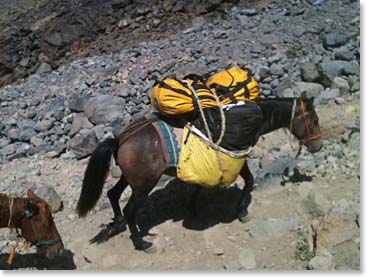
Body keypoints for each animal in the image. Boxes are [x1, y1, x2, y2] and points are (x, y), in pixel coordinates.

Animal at [77, 95, 322, 250]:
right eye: (314, 119)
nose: (318, 146)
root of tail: (120, 138)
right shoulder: (238, 156)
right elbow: (250, 180)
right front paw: (242, 211)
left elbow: (197, 188)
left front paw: (193, 208)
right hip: (144, 184)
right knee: (129, 210)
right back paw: (142, 243)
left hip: (132, 179)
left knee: (113, 194)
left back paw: (117, 223)